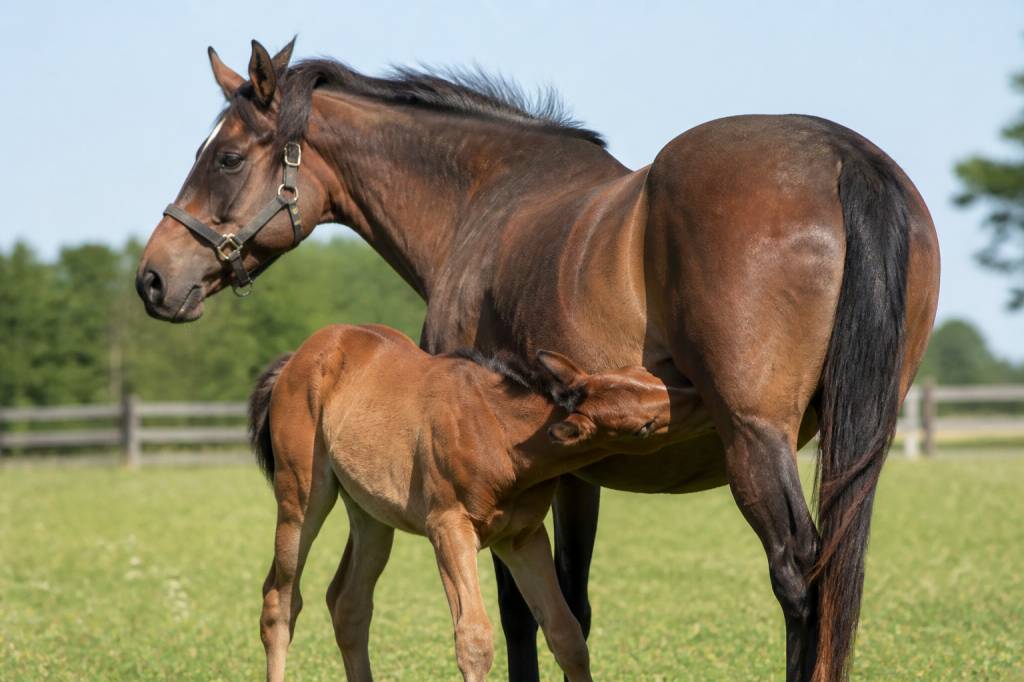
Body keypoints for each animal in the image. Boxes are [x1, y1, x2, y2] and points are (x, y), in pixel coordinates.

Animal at [247, 323, 702, 681]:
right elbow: (475, 640)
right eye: (644, 427)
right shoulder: (449, 528)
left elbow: (567, 635)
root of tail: (297, 358)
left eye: (643, 374)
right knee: (280, 602)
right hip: (302, 496)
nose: (697, 395)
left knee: (349, 604)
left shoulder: (521, 537)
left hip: (371, 513)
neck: (501, 434)